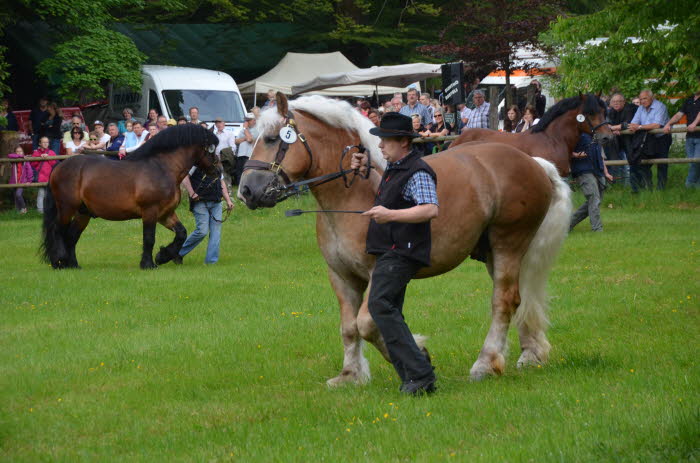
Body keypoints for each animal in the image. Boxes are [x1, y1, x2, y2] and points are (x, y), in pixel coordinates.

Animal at [40, 125, 219, 270]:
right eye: (211, 148)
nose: (219, 171)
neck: (162, 168)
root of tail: (60, 166)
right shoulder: (150, 212)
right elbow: (149, 238)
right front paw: (148, 264)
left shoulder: (165, 214)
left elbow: (181, 233)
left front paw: (162, 256)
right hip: (66, 208)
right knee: (58, 231)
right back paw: (59, 262)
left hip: (83, 213)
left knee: (71, 236)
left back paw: (73, 264)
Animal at [238, 94, 572, 384]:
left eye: (272, 138)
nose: (246, 191)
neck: (354, 193)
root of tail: (532, 161)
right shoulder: (341, 276)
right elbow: (349, 328)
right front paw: (350, 375)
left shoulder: (379, 271)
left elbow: (367, 323)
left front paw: (419, 354)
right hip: (495, 252)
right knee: (518, 297)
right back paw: (530, 354)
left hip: (508, 244)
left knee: (503, 301)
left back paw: (485, 363)